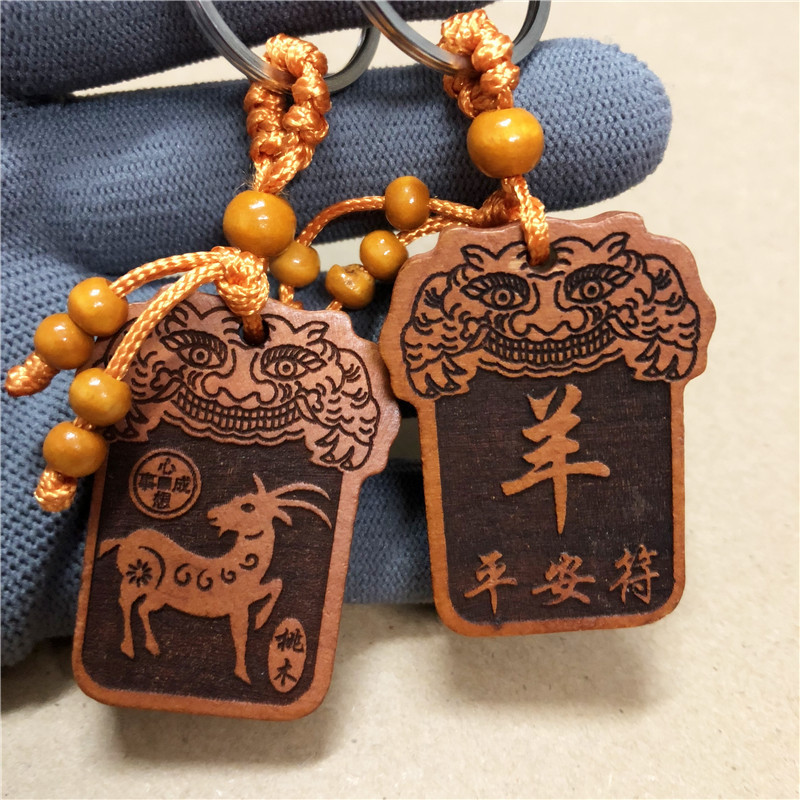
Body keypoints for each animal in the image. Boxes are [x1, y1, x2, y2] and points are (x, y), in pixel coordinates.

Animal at [98, 475, 331, 684]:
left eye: (248, 507)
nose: (212, 514)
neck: (242, 566)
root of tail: (123, 540)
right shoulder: (238, 606)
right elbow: (240, 636)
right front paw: (243, 673)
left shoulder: (247, 597)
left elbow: (276, 585)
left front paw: (260, 621)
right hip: (138, 576)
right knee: (126, 603)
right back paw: (128, 648)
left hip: (158, 596)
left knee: (142, 608)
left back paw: (152, 646)